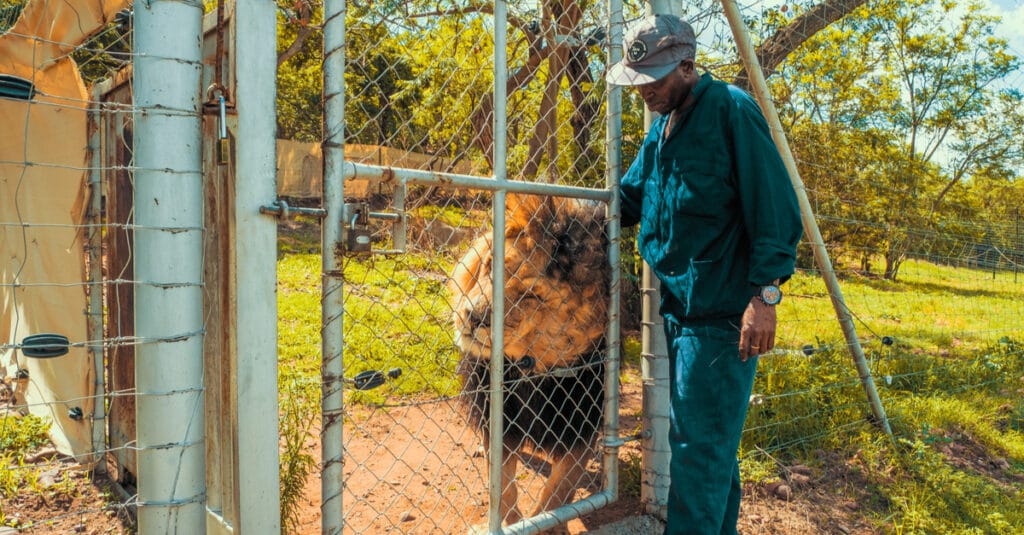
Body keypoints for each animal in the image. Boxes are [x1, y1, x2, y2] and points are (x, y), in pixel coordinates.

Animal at [448, 191, 606, 528]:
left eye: (530, 296)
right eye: (490, 266)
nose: (472, 317)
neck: (532, 371)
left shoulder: (582, 422)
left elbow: (560, 489)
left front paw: (546, 525)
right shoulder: (497, 415)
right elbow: (503, 484)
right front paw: (509, 522)